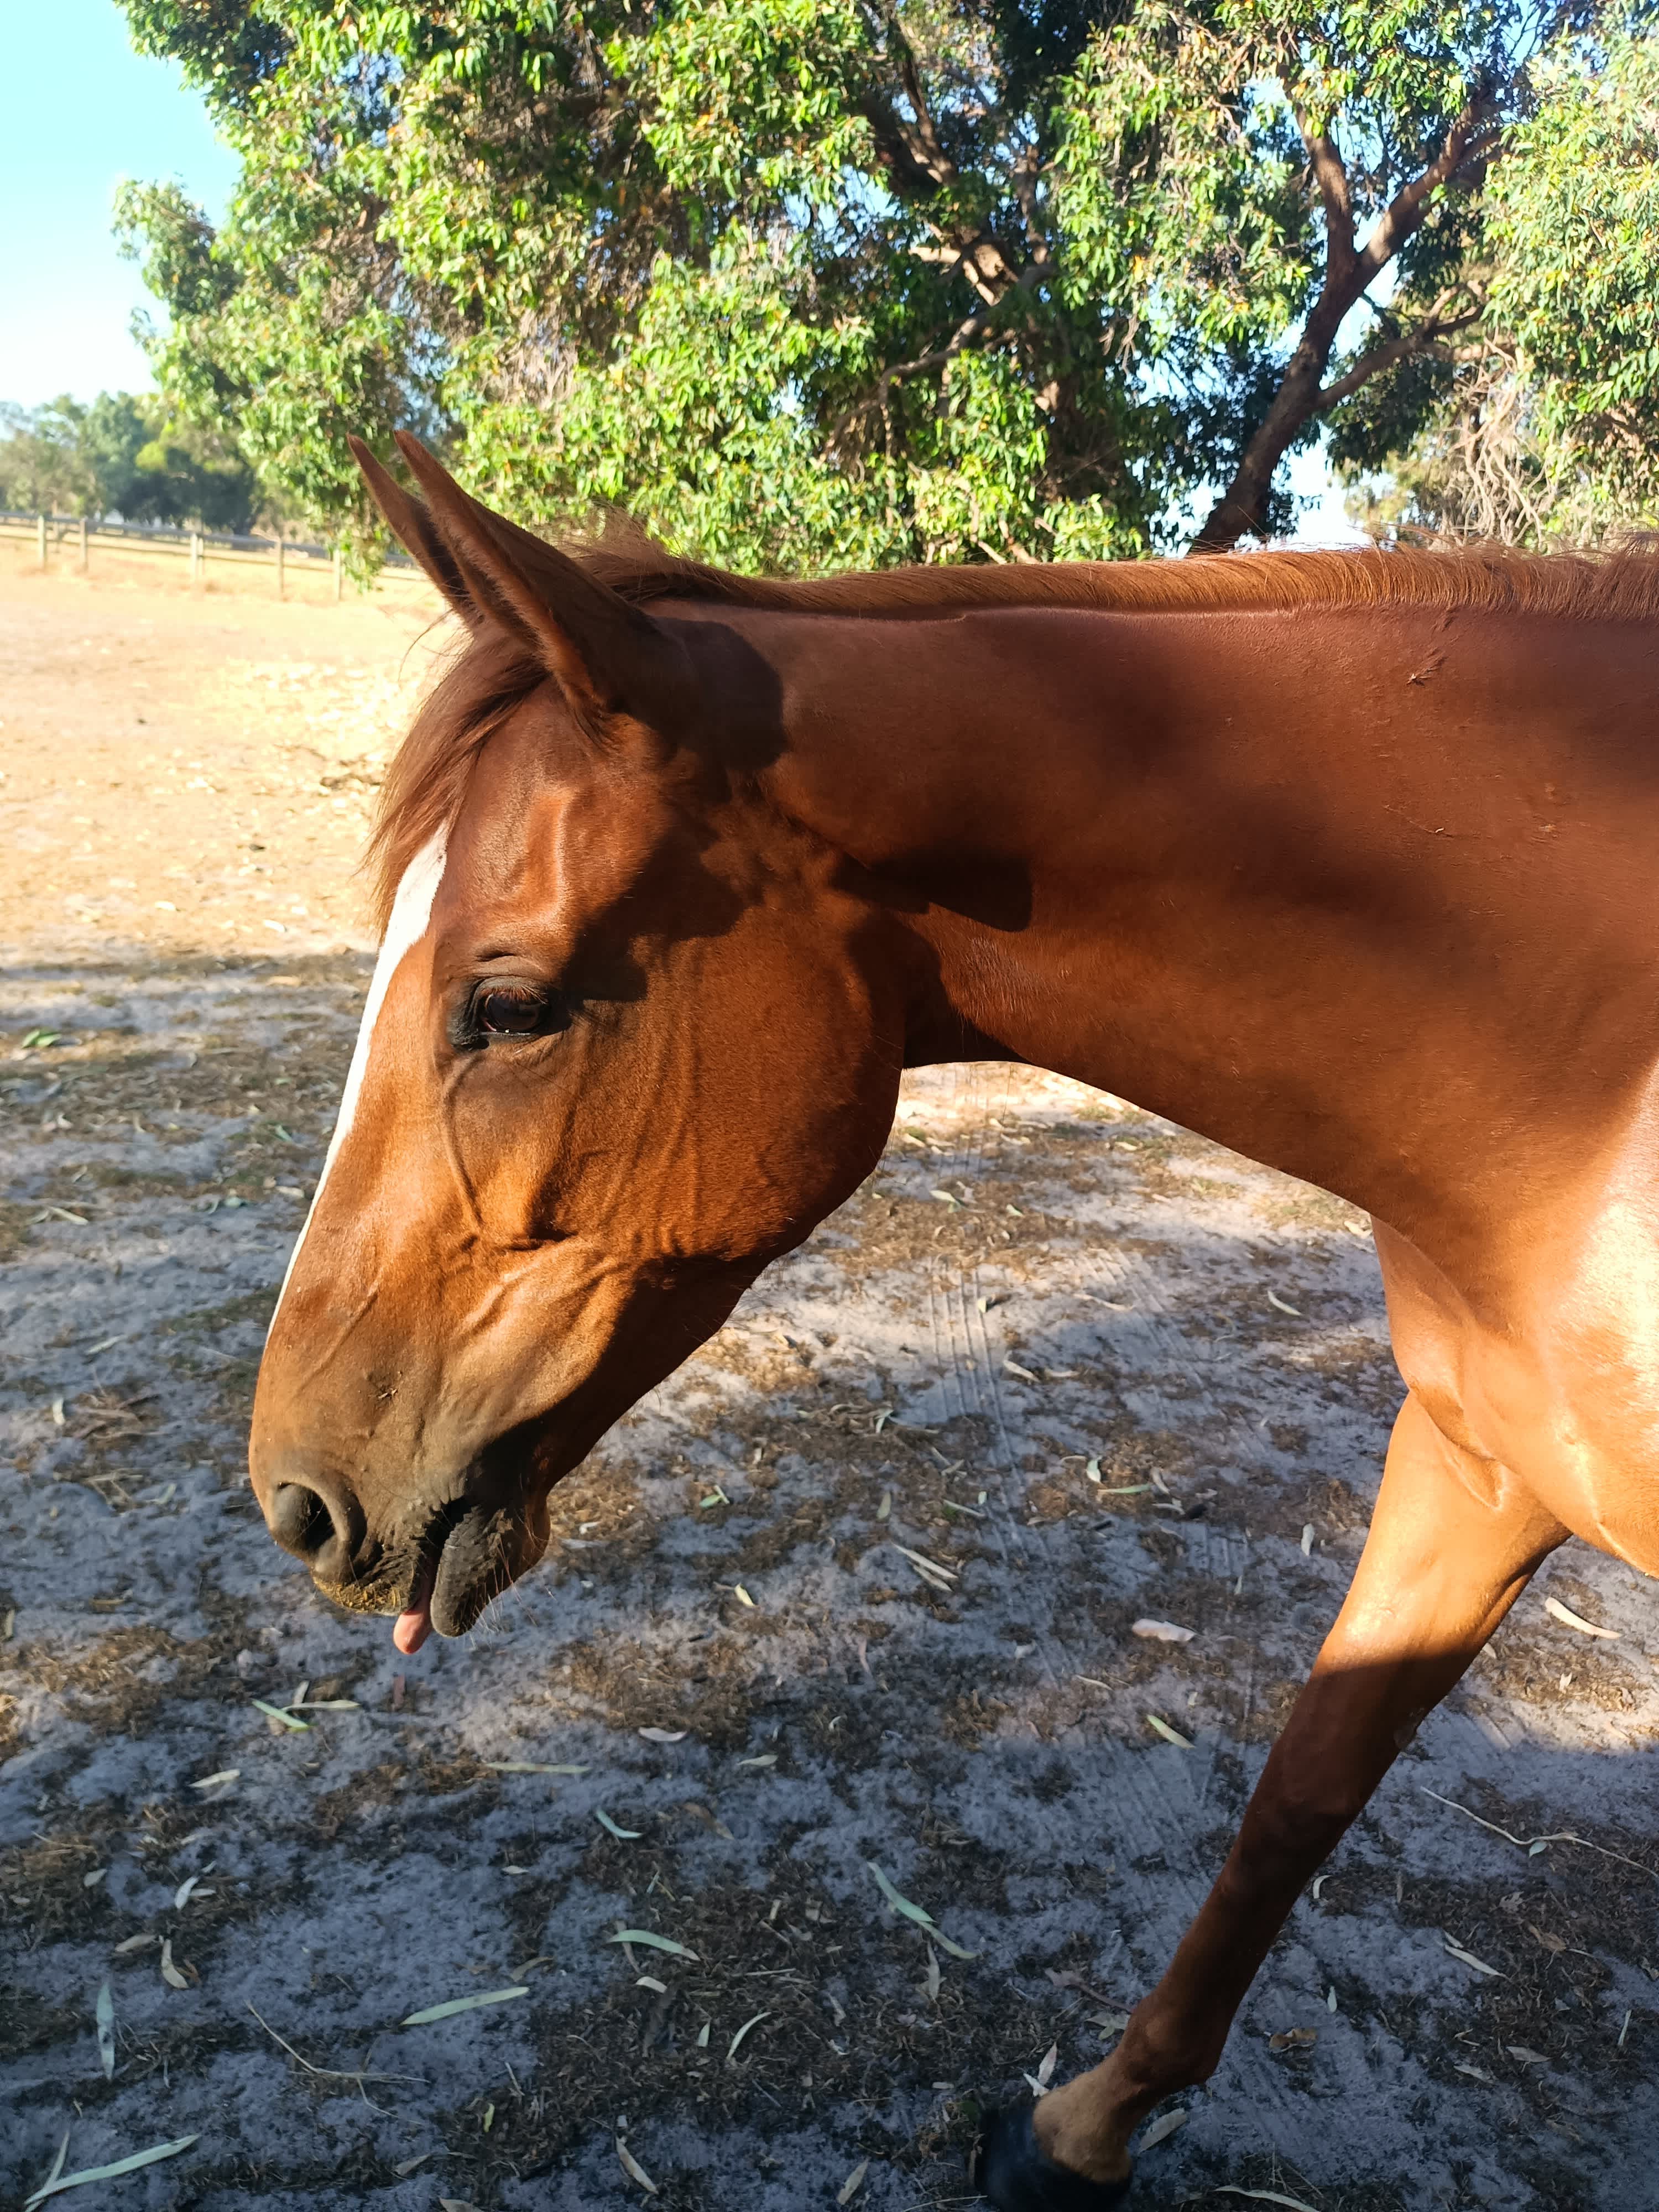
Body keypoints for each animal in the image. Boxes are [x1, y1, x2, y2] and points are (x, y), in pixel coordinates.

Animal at [250, 432, 1659, 2208]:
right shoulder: (1478, 1462)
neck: (1593, 1080)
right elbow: (1297, 1794)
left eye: (504, 1007)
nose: (295, 1499)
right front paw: (1084, 2130)